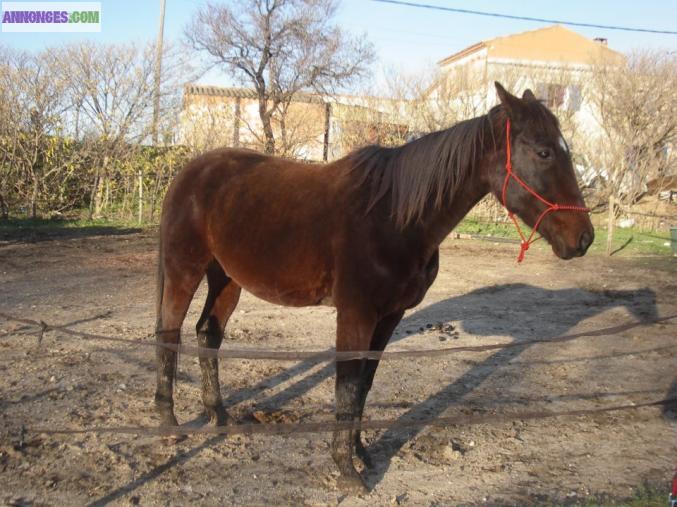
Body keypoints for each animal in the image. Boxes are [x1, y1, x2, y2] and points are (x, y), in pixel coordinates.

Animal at [154, 82, 594, 493]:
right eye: (544, 153)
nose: (583, 238)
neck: (394, 216)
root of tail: (189, 172)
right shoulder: (356, 314)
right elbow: (347, 387)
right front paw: (346, 470)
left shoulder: (389, 316)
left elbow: (364, 385)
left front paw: (362, 453)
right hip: (184, 270)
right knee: (169, 335)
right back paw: (169, 425)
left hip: (227, 279)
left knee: (208, 334)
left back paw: (219, 415)